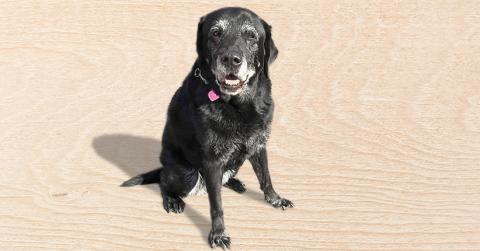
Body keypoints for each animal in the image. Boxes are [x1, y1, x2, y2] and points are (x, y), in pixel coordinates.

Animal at [122, 6, 294, 248]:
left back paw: (235, 182)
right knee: (164, 181)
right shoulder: (212, 162)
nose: (231, 59)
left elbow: (266, 177)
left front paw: (275, 199)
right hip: (186, 173)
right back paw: (172, 199)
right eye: (215, 33)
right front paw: (218, 233)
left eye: (251, 36)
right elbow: (217, 205)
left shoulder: (259, 145)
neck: (237, 105)